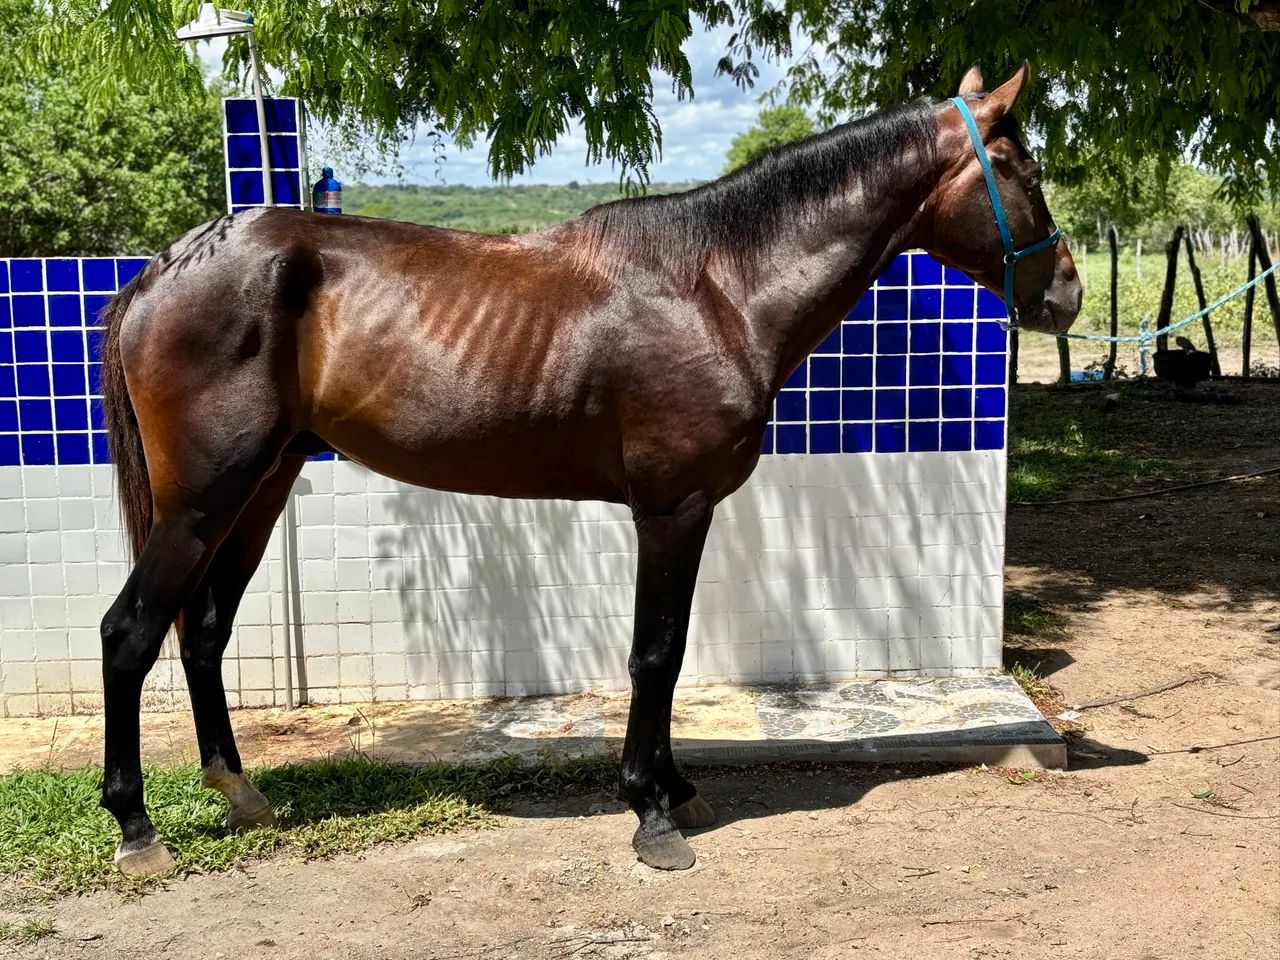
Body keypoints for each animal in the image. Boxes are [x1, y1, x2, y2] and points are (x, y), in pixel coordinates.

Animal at [95, 62, 1080, 876]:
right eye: (1024, 173)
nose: (1067, 293)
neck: (717, 288)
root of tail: (163, 269)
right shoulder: (673, 507)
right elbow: (656, 654)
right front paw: (653, 813)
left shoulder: (683, 510)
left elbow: (668, 654)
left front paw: (673, 788)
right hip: (204, 499)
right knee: (130, 632)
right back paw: (137, 830)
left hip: (259, 490)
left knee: (204, 630)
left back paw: (243, 795)